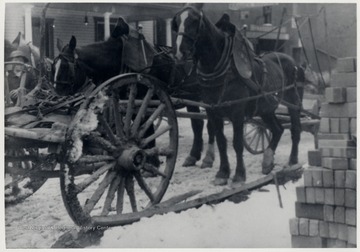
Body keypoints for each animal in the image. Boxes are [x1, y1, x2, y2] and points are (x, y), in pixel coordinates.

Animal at [52, 17, 217, 167]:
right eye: (54, 66)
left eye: (65, 67)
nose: (57, 95)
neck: (121, 59)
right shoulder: (130, 103)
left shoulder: (148, 100)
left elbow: (147, 129)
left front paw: (151, 160)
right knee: (198, 123)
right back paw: (193, 156)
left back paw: (208, 158)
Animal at [172, 3, 304, 185]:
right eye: (176, 22)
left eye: (194, 20)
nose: (180, 53)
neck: (223, 69)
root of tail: (294, 62)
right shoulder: (213, 111)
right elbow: (221, 141)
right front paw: (222, 173)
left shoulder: (237, 112)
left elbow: (237, 143)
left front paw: (240, 174)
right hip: (266, 108)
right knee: (277, 129)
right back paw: (267, 161)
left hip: (293, 101)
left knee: (295, 129)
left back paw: (292, 161)